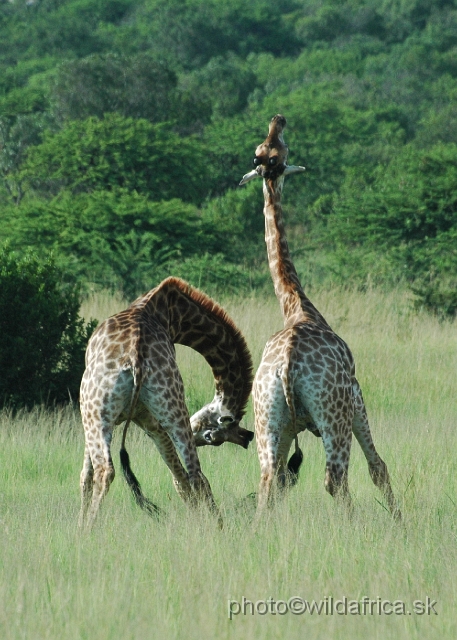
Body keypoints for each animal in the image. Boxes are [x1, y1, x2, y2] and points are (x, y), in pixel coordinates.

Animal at [80, 276, 255, 528]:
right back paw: (212, 526)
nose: (245, 438)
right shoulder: (144, 419)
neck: (170, 312)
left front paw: (78, 525)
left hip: (101, 413)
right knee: (194, 474)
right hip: (169, 408)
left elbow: (86, 476)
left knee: (106, 470)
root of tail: (136, 359)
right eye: (214, 439)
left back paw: (88, 530)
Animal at [239, 114, 400, 520]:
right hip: (334, 412)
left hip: (267, 416)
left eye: (267, 152)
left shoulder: (285, 427)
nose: (278, 118)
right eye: (282, 149)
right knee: (335, 479)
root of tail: (287, 366)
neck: (298, 307)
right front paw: (400, 522)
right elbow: (379, 466)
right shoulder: (357, 397)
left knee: (268, 480)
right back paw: (354, 525)